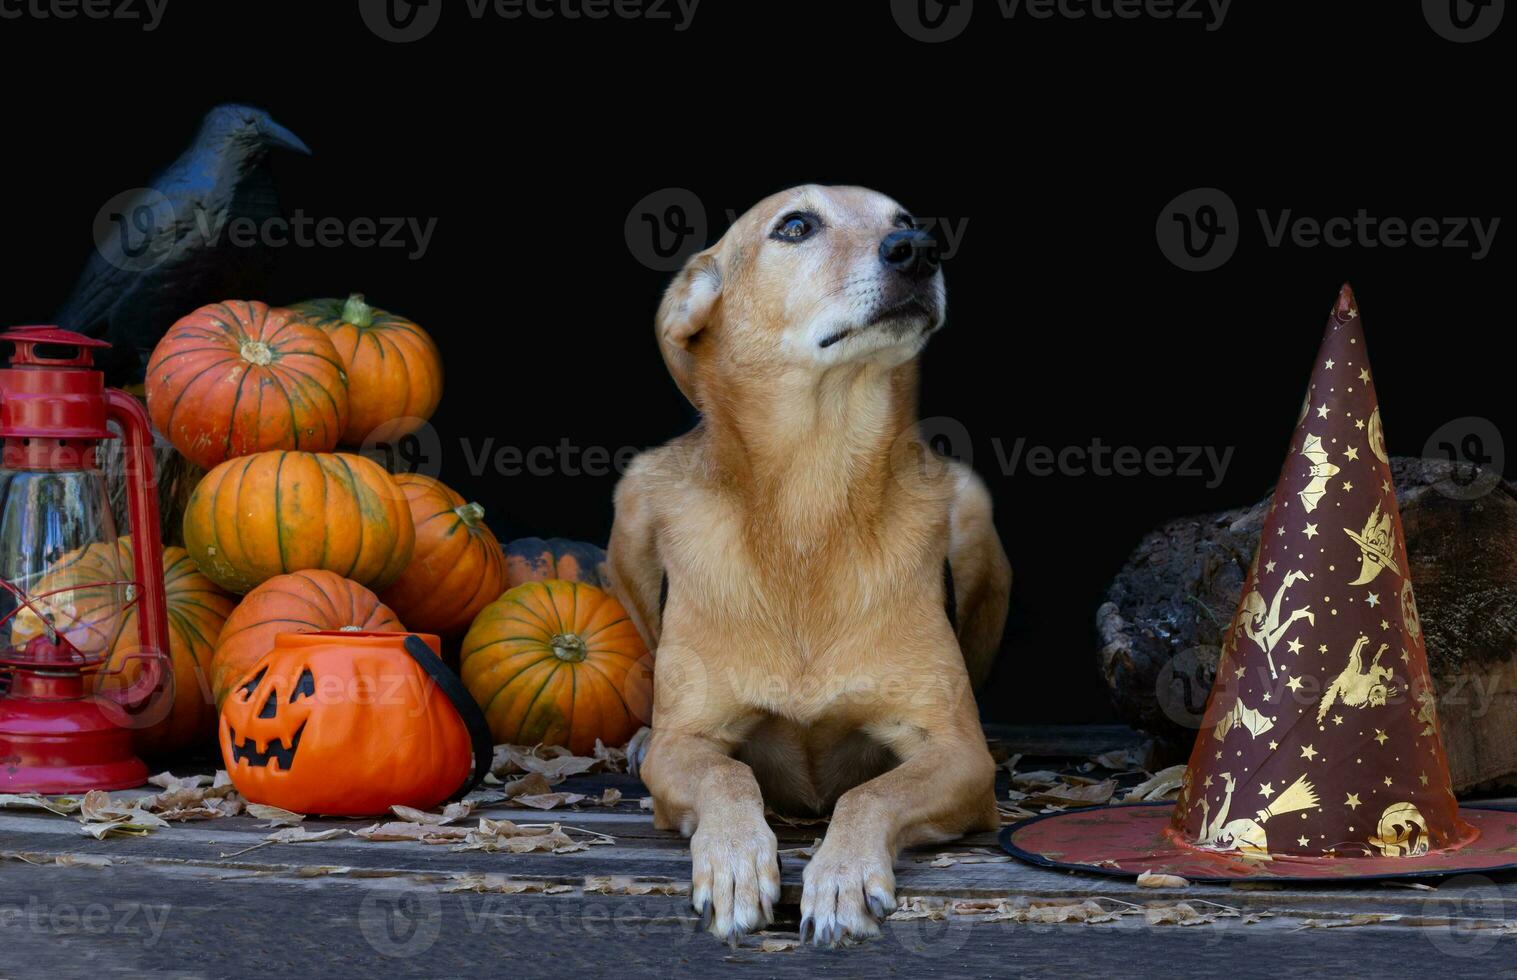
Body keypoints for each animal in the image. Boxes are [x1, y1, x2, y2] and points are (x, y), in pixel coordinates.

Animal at [609, 184, 1013, 946]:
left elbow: (871, 791)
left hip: (975, 512)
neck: (810, 498)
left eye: (903, 220)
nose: (917, 249)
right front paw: (734, 859)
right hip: (634, 499)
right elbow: (725, 777)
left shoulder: (958, 755)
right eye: (795, 226)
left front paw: (842, 873)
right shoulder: (688, 746)